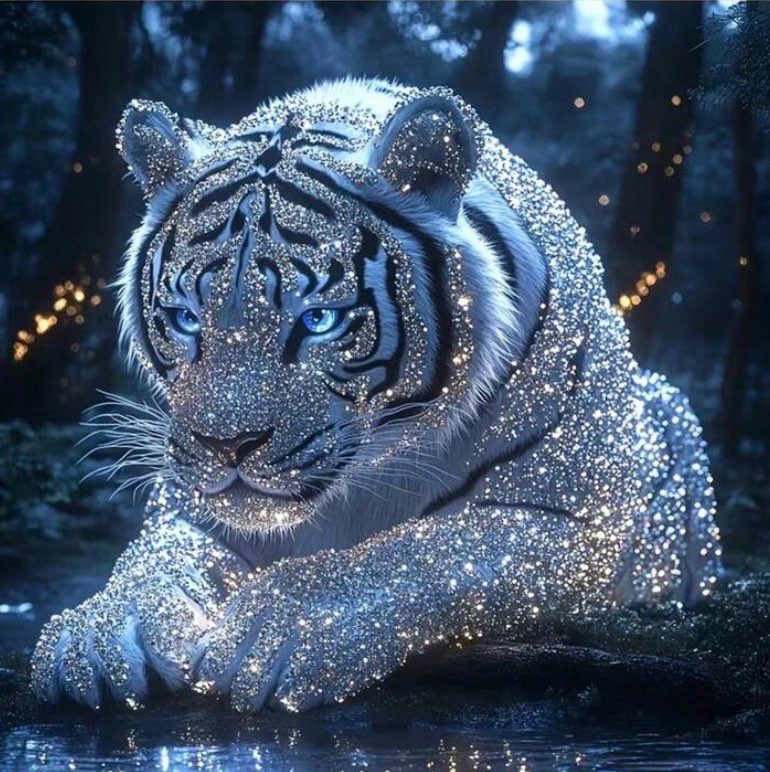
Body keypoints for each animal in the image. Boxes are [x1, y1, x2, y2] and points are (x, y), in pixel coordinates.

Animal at [31, 78, 721, 713]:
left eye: (318, 321)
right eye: (185, 318)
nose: (226, 447)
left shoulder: (579, 521)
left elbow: (425, 553)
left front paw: (279, 630)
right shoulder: (188, 508)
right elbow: (153, 562)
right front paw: (95, 636)